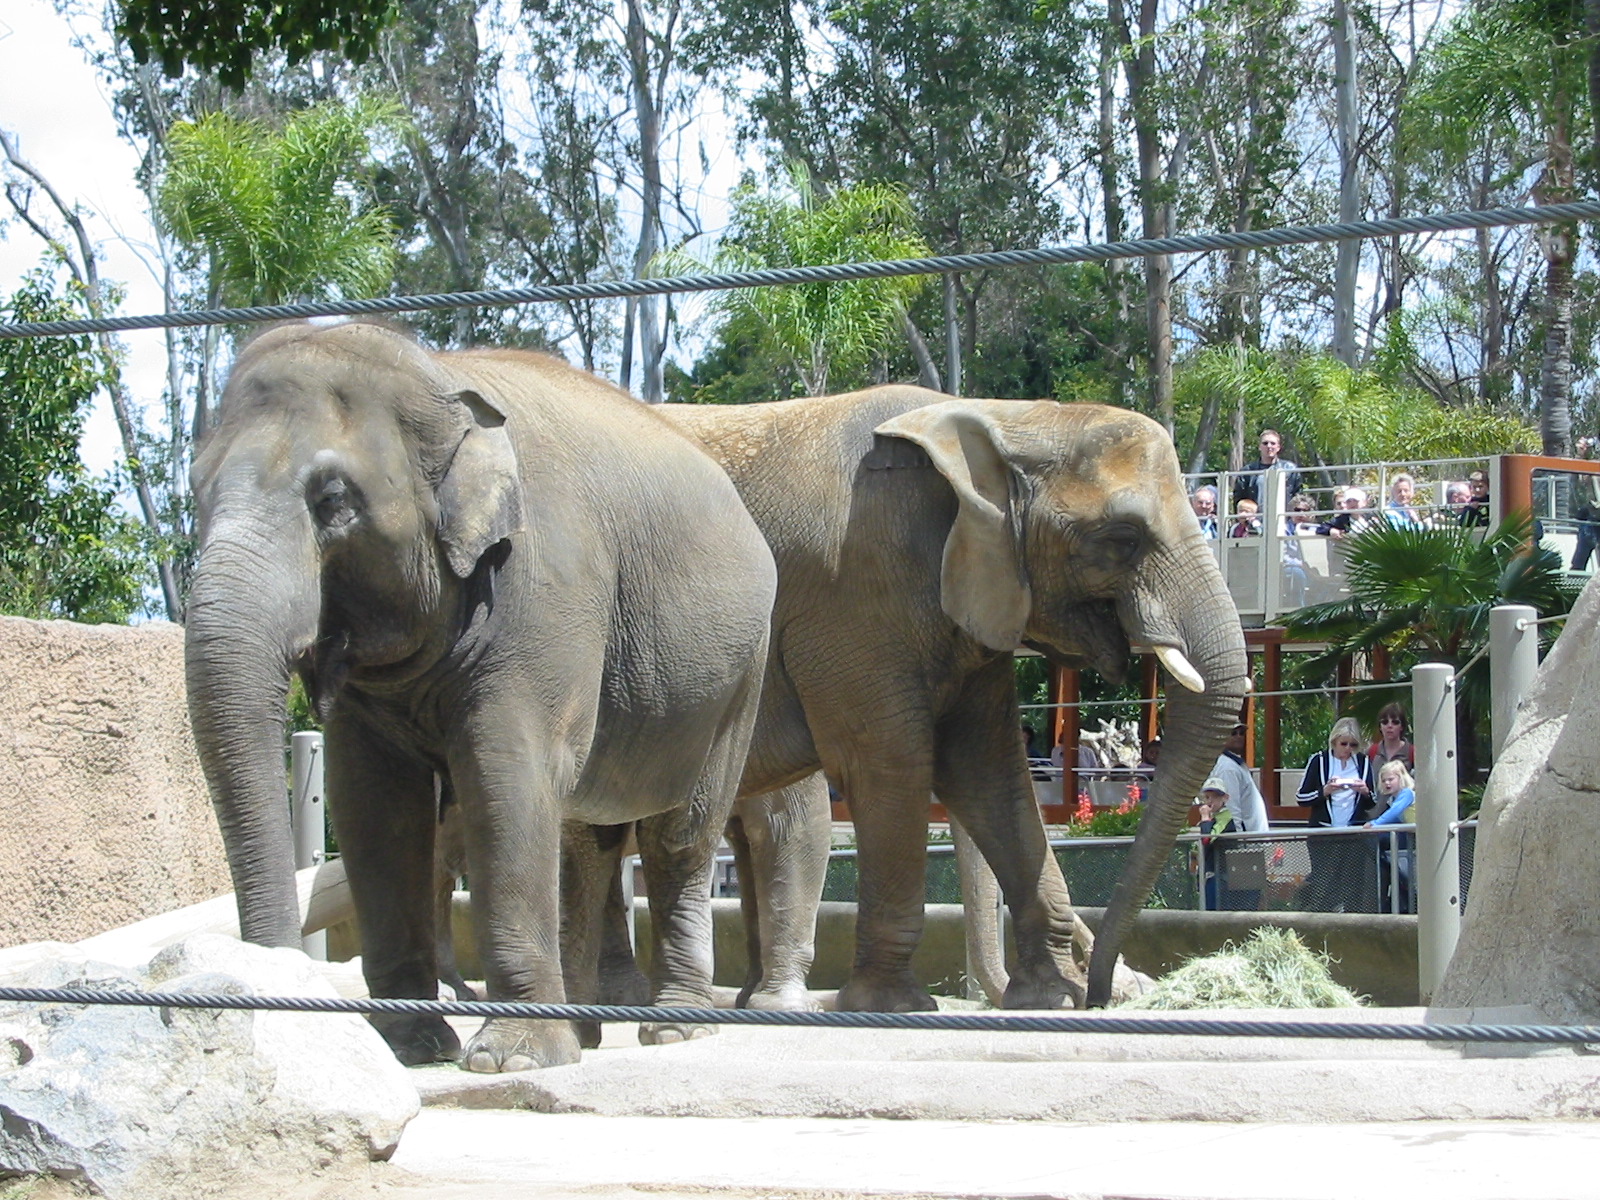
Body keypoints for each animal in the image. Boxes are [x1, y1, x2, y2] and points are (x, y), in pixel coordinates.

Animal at [184, 320, 777, 1071]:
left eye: (334, 501)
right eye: (198, 494)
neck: (436, 378)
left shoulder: (545, 593)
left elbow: (505, 774)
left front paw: (512, 1060)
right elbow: (372, 802)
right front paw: (409, 1050)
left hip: (740, 673)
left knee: (681, 833)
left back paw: (673, 1028)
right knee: (585, 843)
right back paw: (586, 1030)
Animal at [633, 388, 1250, 1012]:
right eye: (1122, 538)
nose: (1102, 992)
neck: (1001, 420)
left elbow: (987, 770)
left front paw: (1050, 997)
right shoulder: (851, 593)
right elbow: (890, 765)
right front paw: (891, 1005)